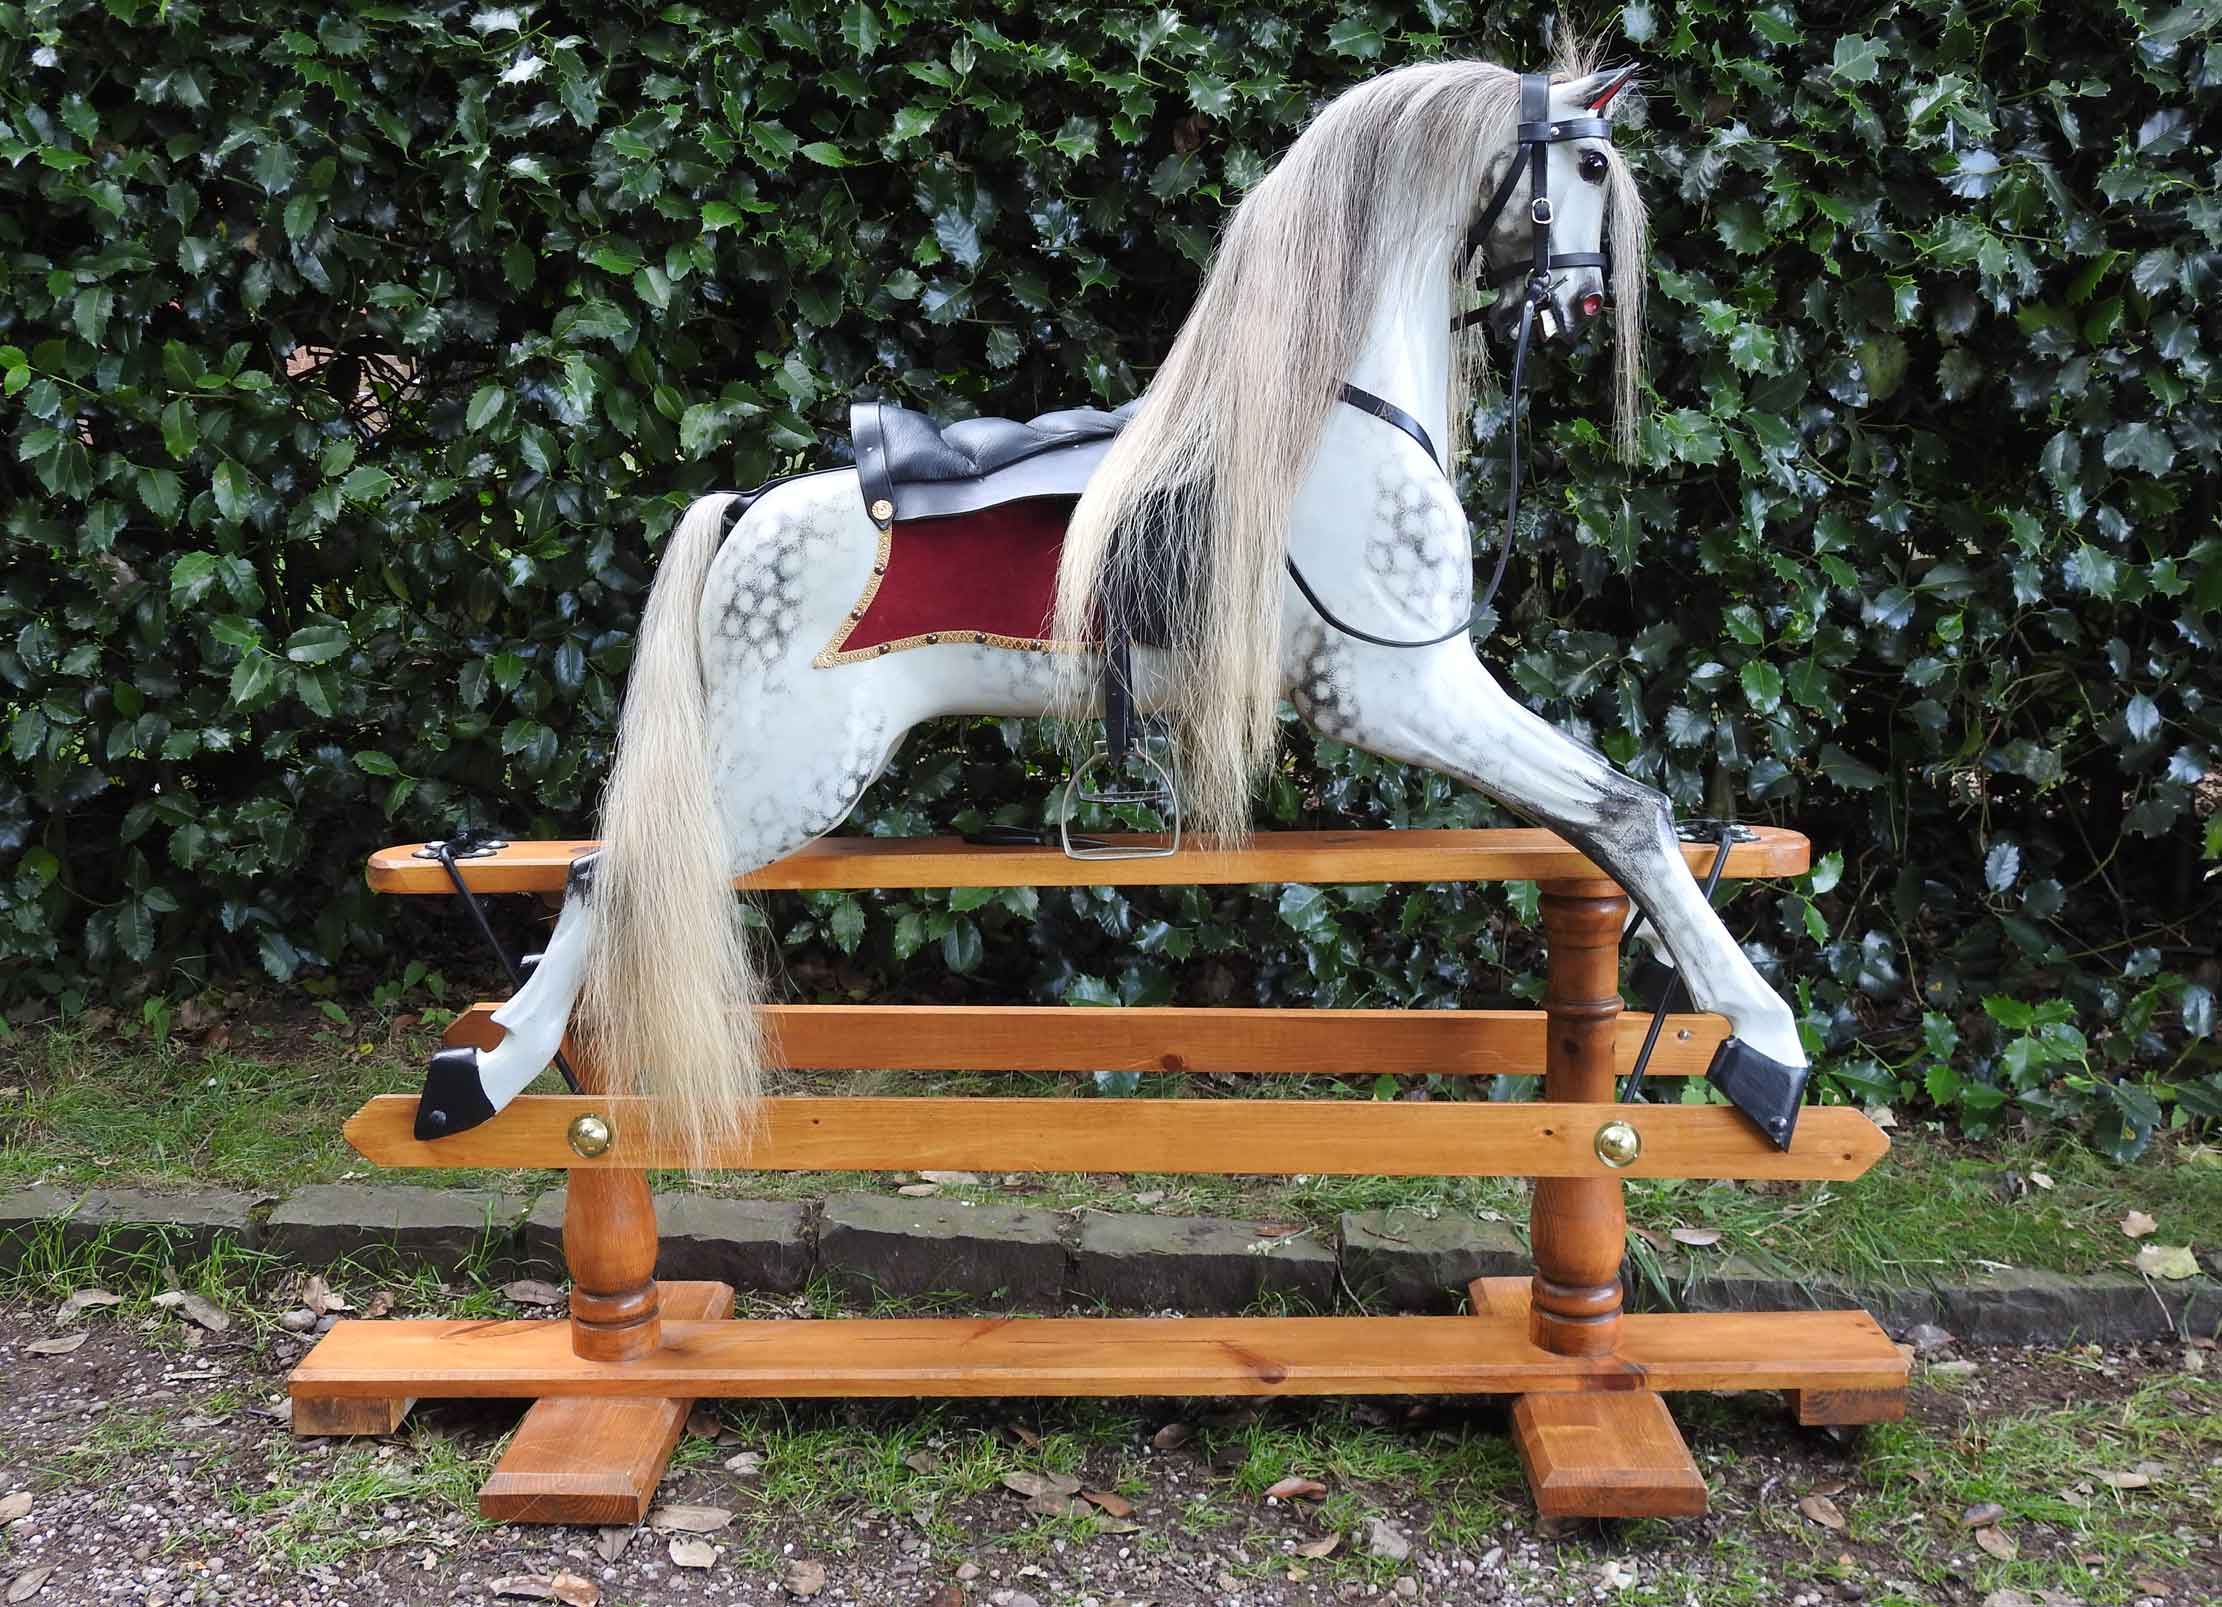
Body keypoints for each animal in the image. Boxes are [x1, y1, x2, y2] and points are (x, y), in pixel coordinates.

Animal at [415, 49, 1816, 1160]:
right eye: (1587, 163)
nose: (1581, 303)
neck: (1338, 408)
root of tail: (749, 509)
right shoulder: (1393, 686)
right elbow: (1629, 808)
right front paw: (1767, 1047)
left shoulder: (1417, 691)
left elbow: (1598, 822)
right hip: (786, 770)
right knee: (606, 874)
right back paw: (475, 1077)